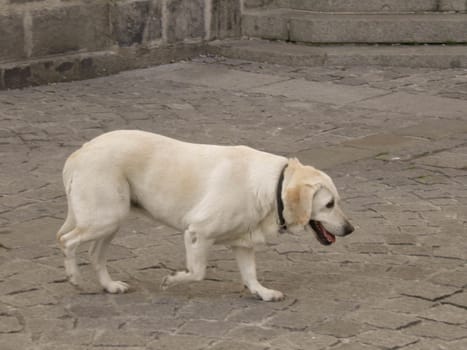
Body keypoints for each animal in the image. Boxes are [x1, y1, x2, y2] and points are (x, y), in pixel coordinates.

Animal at [55, 130, 354, 300]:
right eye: (329, 204)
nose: (350, 229)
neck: (272, 188)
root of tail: (79, 152)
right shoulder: (197, 232)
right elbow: (197, 272)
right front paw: (172, 279)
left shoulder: (244, 243)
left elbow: (250, 274)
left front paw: (262, 293)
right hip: (105, 217)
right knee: (67, 241)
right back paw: (75, 278)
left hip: (111, 221)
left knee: (95, 254)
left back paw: (109, 286)